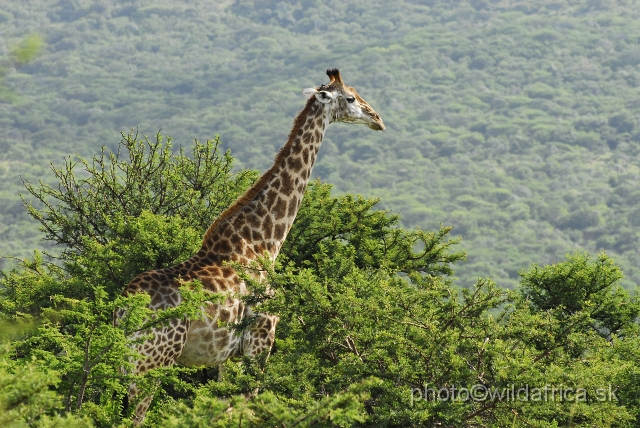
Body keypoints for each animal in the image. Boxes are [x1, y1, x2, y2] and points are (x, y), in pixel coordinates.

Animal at [114, 68, 384, 422]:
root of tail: (122, 309)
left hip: (123, 365)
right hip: (153, 361)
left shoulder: (227, 354)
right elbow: (247, 406)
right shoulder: (261, 336)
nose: (378, 119)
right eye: (350, 98)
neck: (263, 241)